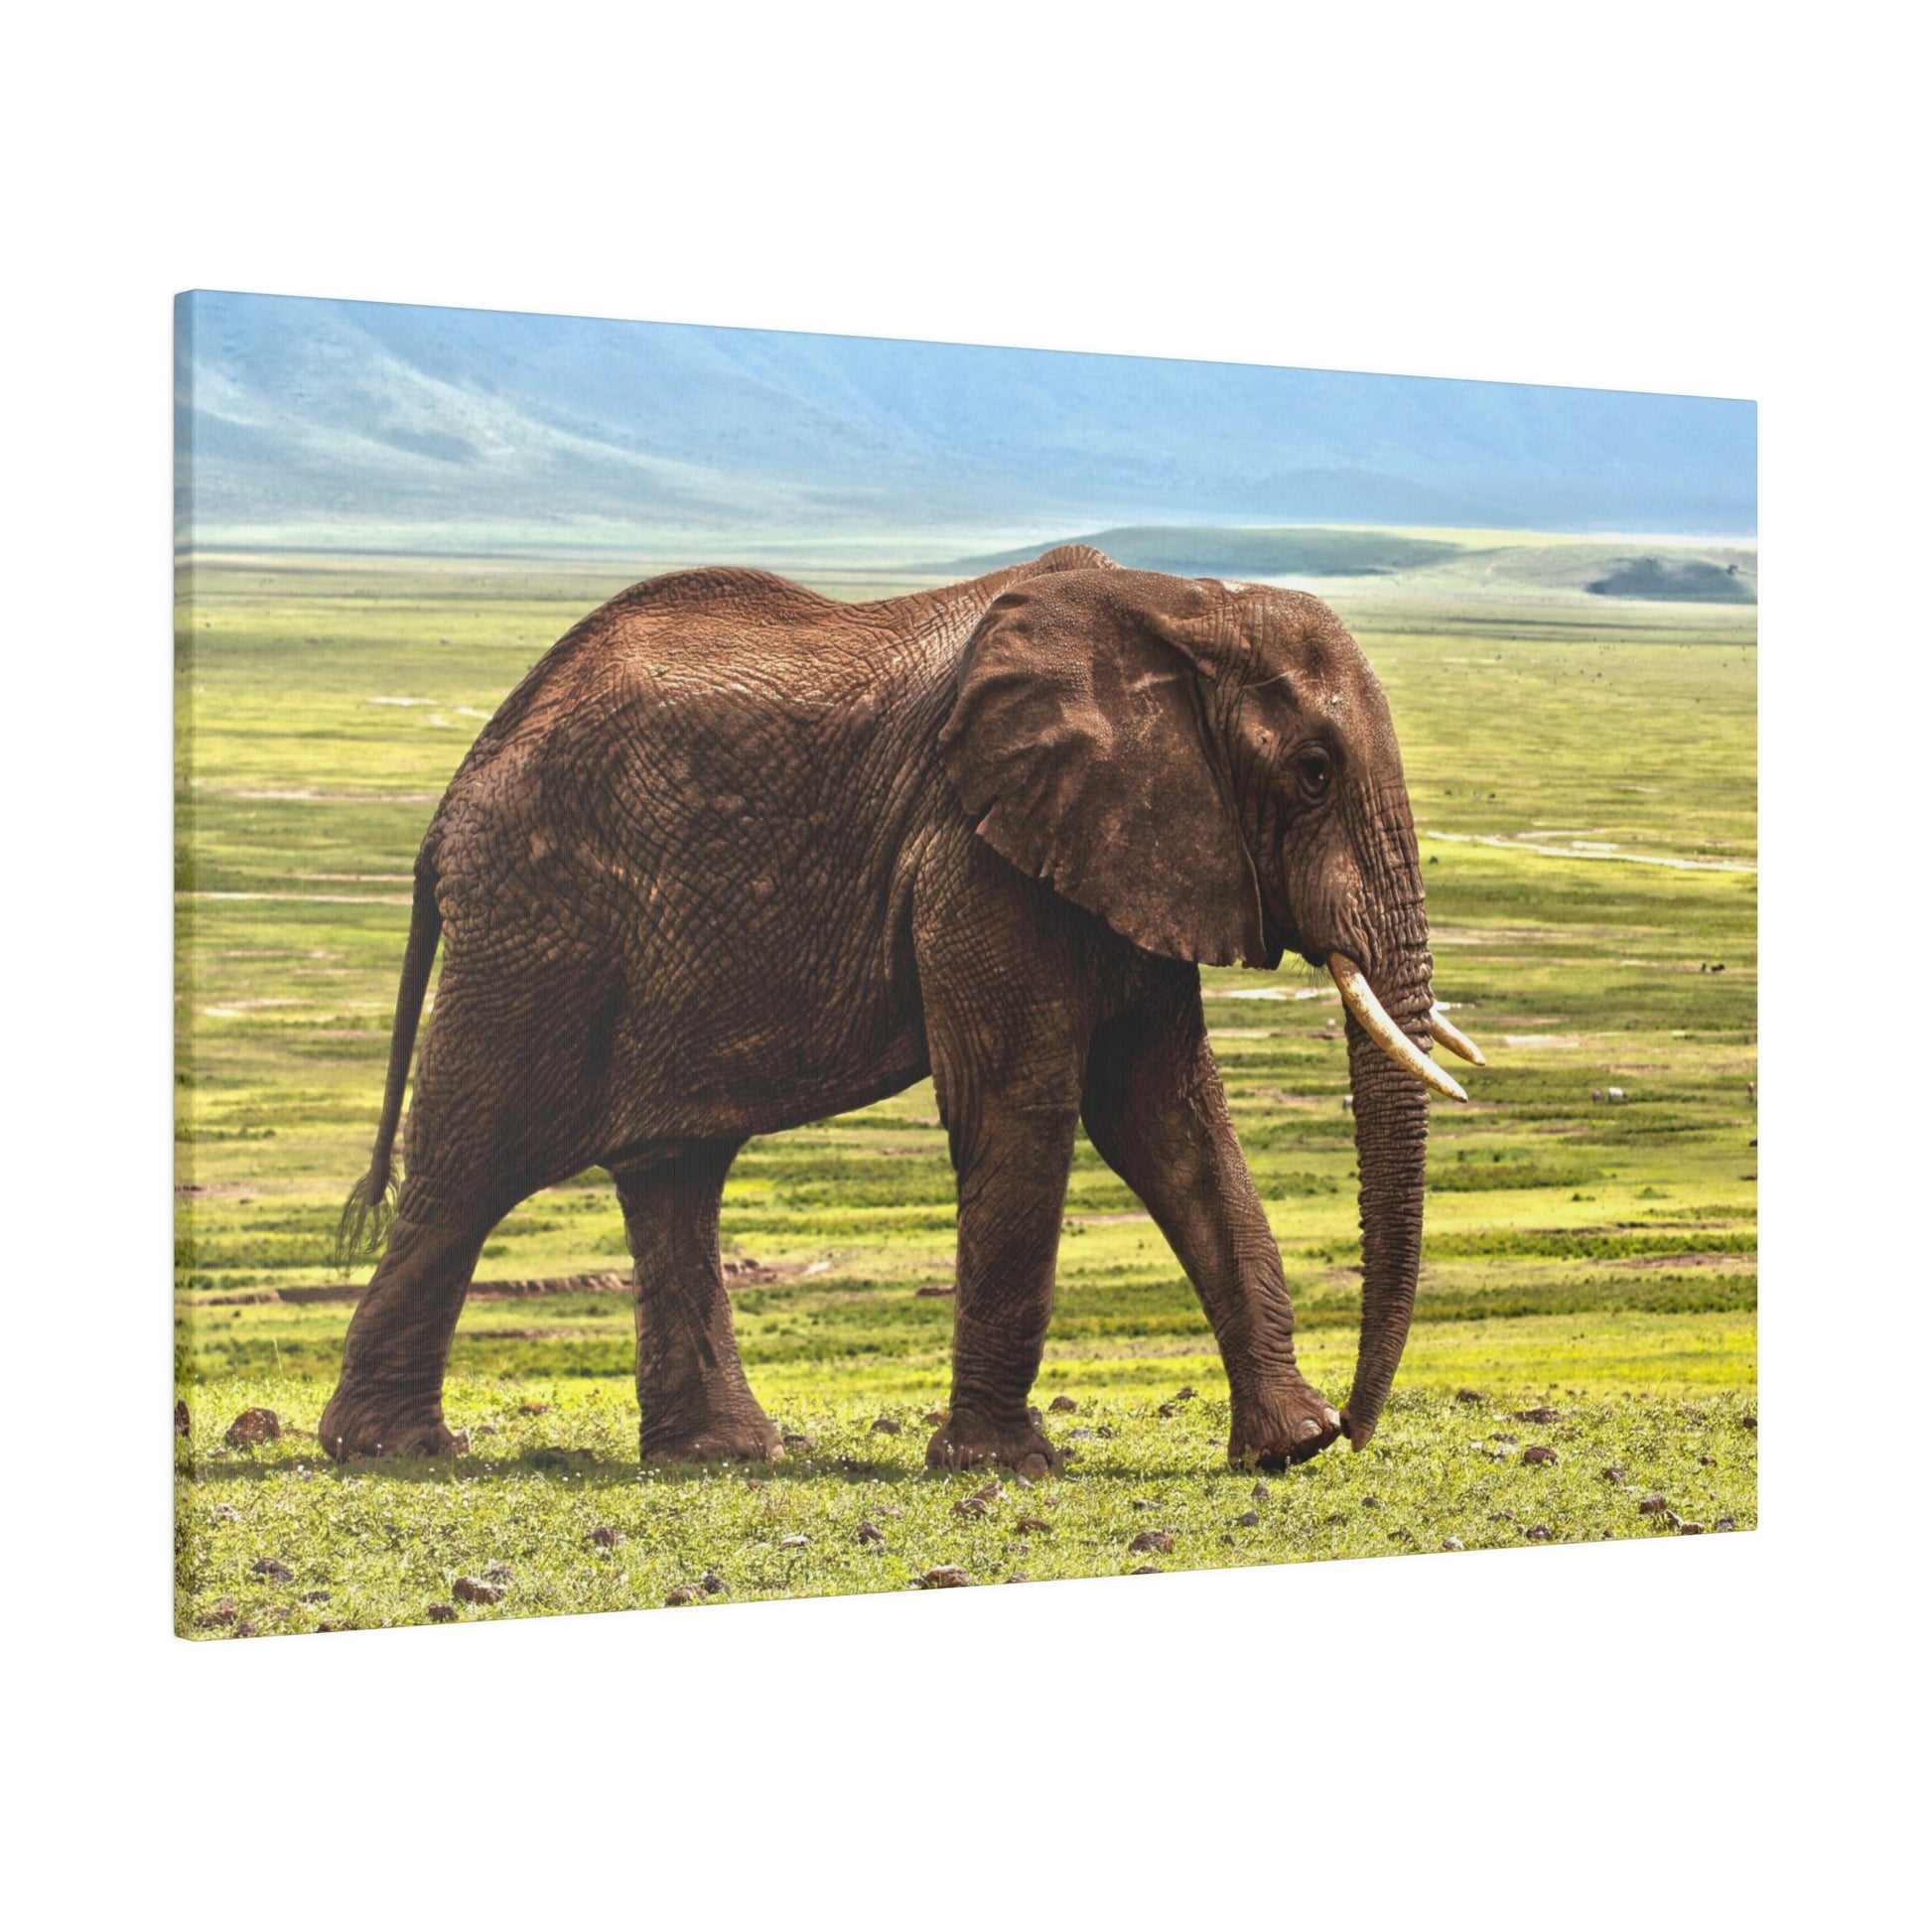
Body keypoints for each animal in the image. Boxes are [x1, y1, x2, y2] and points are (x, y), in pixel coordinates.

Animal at [318, 544, 1483, 1473]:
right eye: (1313, 772)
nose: (1360, 1429)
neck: (1181, 603)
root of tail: (459, 785)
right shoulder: (975, 854)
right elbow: (1024, 1107)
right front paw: (1006, 1467)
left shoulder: (1130, 850)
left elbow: (1169, 1119)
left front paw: (1288, 1449)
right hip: (538, 928)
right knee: (472, 1166)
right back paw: (390, 1450)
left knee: (672, 1168)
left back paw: (721, 1454)